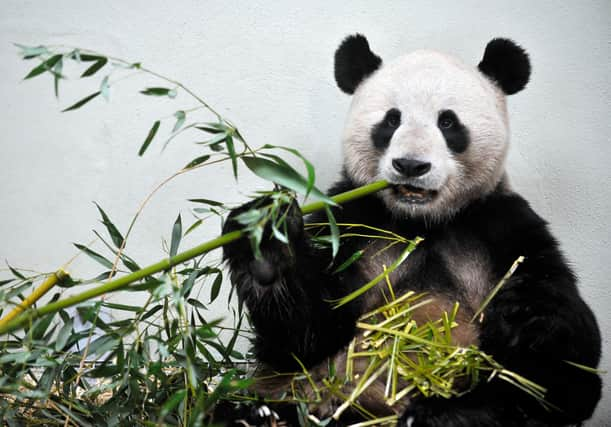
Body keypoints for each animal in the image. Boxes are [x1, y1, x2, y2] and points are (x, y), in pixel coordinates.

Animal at [221, 35, 604, 426]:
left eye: (448, 122)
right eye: (392, 120)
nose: (410, 165)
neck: (421, 222)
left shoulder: (502, 227)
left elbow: (561, 367)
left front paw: (521, 316)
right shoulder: (350, 223)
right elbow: (304, 338)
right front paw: (267, 244)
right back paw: (256, 413)